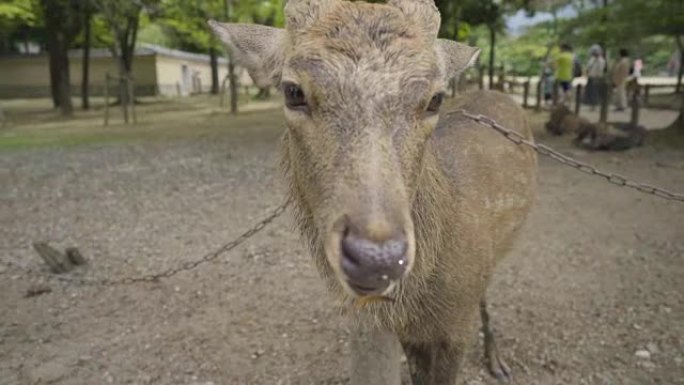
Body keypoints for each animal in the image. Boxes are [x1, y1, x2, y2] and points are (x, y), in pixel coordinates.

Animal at [208, 1, 536, 382]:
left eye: (435, 99)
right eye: (292, 91)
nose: (377, 258)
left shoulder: (456, 326)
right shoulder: (407, 331)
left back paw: (497, 362)